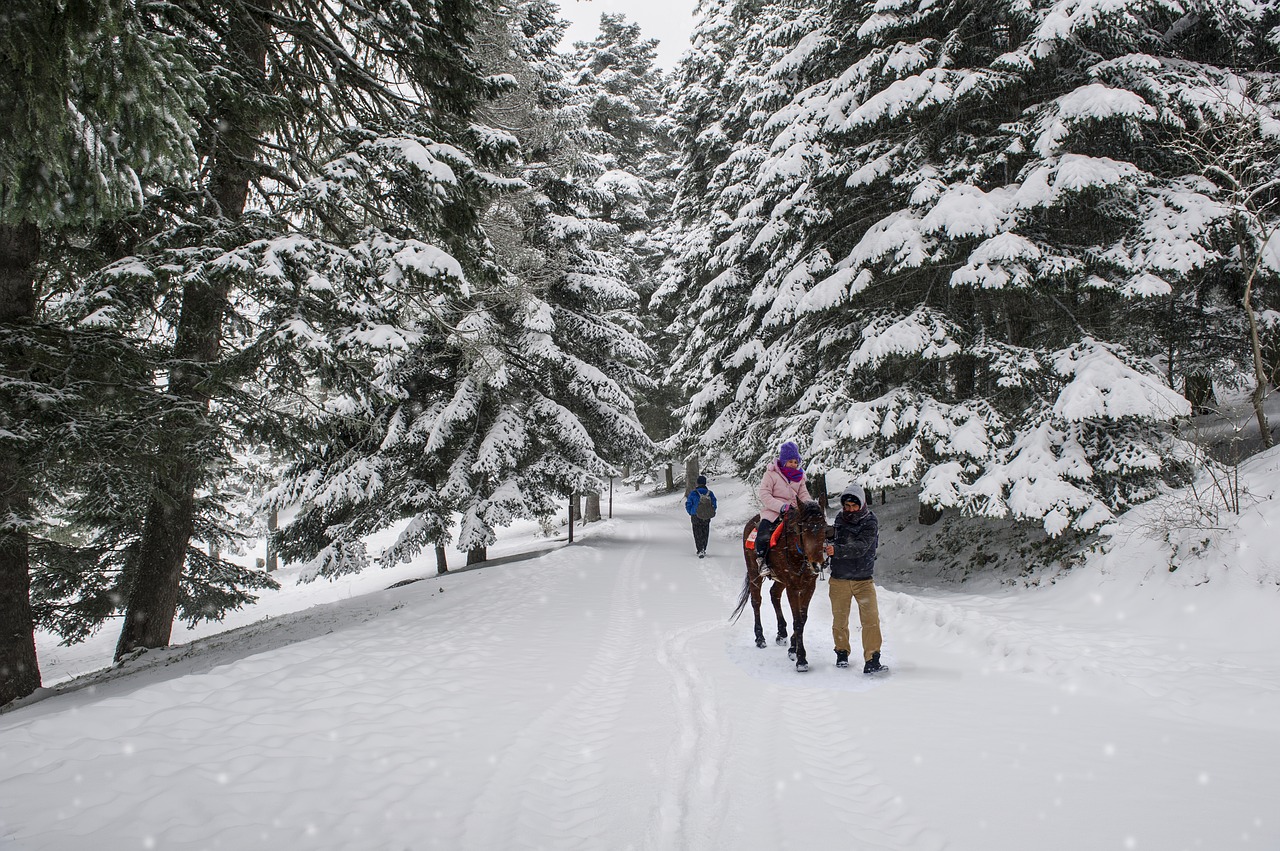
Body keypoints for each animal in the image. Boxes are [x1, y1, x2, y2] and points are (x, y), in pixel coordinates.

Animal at [732, 499, 829, 670]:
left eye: (824, 527)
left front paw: (792, 648)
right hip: (754, 573)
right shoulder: (792, 587)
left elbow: (803, 618)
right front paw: (801, 659)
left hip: (780, 579)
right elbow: (798, 621)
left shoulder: (809, 586)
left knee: (774, 594)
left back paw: (781, 633)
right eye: (803, 529)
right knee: (756, 601)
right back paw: (760, 638)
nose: (817, 564)